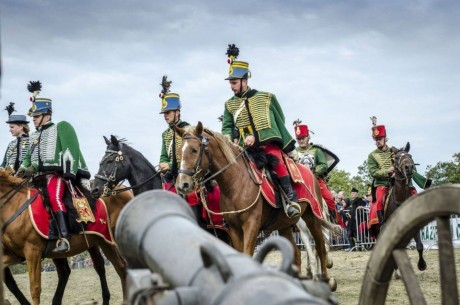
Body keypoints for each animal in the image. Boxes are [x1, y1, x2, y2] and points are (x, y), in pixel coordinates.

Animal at [0, 169, 133, 304]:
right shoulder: (14, 254)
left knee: (120, 267)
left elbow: (34, 289)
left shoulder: (32, 251)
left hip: (108, 240)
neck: (15, 206)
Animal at [174, 121, 336, 288]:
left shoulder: (251, 225)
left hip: (312, 218)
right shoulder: (234, 228)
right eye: (179, 151)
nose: (182, 185)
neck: (236, 182)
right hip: (285, 225)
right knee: (297, 253)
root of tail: (311, 174)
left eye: (194, 150)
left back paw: (326, 280)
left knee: (320, 247)